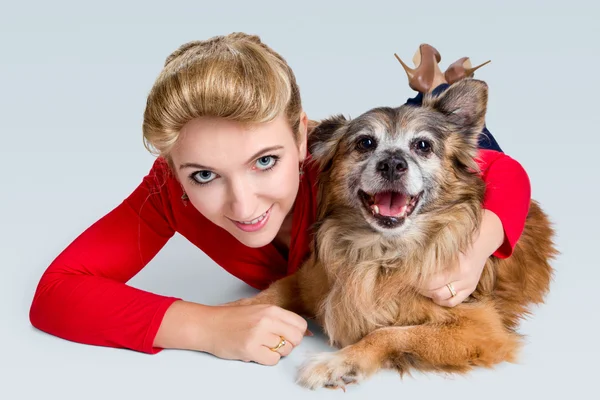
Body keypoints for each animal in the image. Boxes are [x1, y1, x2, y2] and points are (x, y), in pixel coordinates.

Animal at [232, 79, 556, 390]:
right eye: (365, 142)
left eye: (423, 145)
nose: (391, 164)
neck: (380, 253)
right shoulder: (305, 279)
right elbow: (268, 293)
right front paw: (232, 313)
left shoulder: (481, 327)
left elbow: (390, 334)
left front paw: (339, 363)